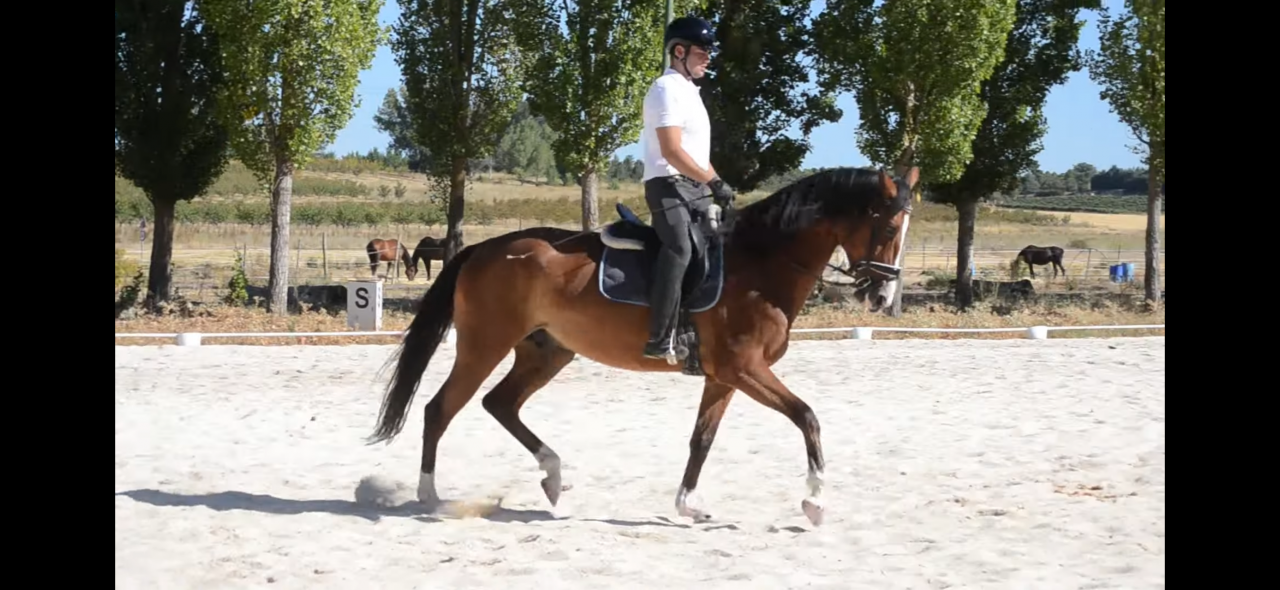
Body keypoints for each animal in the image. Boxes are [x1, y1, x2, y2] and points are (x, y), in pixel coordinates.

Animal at [367, 166, 920, 527]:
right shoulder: (744, 368)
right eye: (891, 226)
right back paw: (429, 495)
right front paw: (816, 502)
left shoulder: (724, 376)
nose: (881, 295)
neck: (762, 263)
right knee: (441, 409)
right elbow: (807, 417)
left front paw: (688, 504)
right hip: (484, 345)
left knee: (499, 403)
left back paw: (553, 476)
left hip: (546, 351)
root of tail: (484, 249)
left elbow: (702, 440)